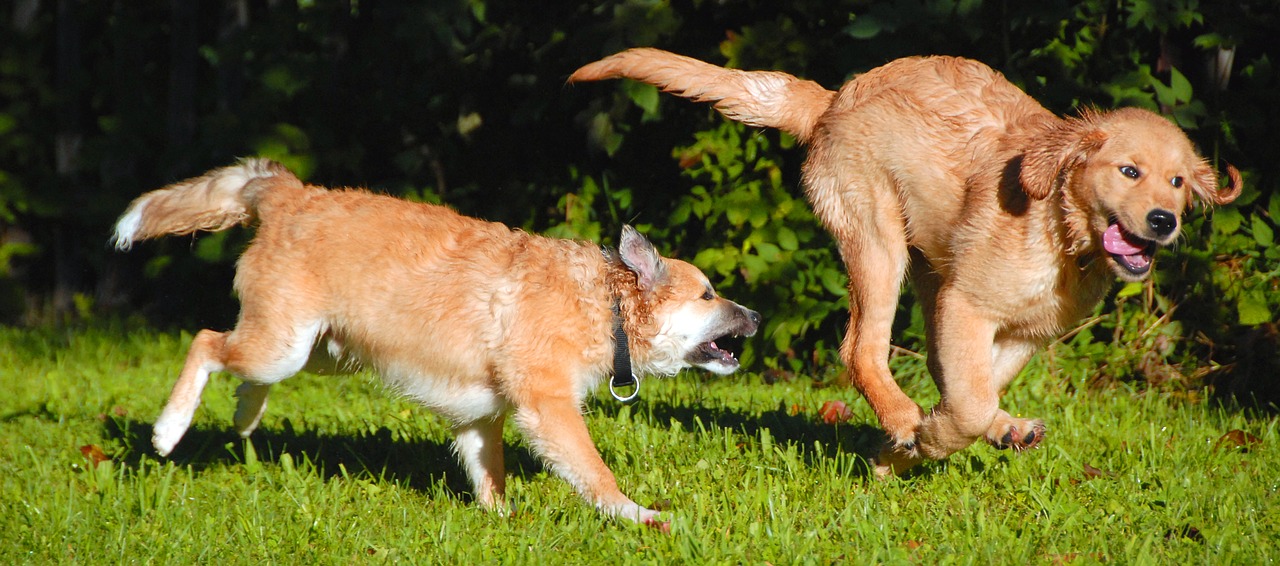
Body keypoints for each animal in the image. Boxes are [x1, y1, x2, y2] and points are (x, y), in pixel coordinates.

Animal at [110, 155, 757, 525]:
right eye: (708, 295)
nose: (753, 315)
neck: (605, 306)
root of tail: (293, 193)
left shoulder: (482, 419)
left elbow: (490, 480)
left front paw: (503, 524)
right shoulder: (549, 410)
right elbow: (597, 477)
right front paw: (641, 516)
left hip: (317, 353)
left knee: (240, 367)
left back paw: (245, 414)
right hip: (282, 346)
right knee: (205, 341)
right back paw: (169, 429)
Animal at [573, 46, 1239, 476]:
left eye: (1178, 182)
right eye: (1128, 171)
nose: (1165, 221)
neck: (1059, 233)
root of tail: (832, 99)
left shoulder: (1023, 333)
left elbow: (975, 390)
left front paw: (921, 448)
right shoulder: (968, 305)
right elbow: (968, 403)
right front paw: (921, 441)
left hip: (926, 273)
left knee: (932, 369)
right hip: (878, 241)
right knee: (861, 349)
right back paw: (899, 417)